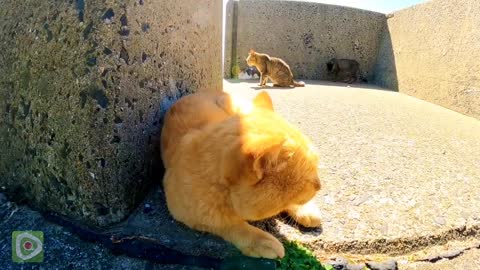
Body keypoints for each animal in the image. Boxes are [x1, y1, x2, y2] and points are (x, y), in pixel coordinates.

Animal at [159, 91, 320, 260]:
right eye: (309, 181)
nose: (320, 185)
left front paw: (303, 209)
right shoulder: (187, 213)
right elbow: (231, 225)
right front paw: (262, 241)